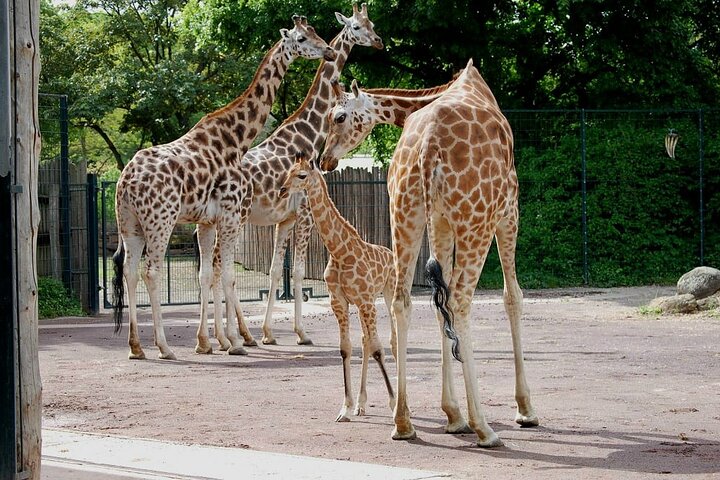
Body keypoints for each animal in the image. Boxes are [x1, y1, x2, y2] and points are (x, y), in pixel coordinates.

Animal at [111, 16, 335, 360]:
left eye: (314, 33)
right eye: (301, 38)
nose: (328, 51)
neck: (235, 139)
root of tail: (125, 181)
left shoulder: (207, 221)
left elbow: (209, 274)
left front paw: (212, 341)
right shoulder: (230, 216)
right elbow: (228, 275)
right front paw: (234, 343)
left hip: (129, 224)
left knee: (130, 271)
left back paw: (136, 347)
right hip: (161, 221)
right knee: (152, 272)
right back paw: (164, 347)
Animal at [201, 2, 383, 347]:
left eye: (372, 24)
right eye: (355, 26)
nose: (378, 41)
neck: (309, 133)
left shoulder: (284, 218)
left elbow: (275, 271)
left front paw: (270, 333)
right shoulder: (305, 212)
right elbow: (296, 272)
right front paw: (300, 333)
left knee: (211, 268)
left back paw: (220, 337)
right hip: (236, 218)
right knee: (219, 266)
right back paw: (231, 337)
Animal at [278, 152, 395, 422]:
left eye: (301, 175)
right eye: (288, 172)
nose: (282, 190)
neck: (339, 252)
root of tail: (390, 253)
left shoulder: (365, 300)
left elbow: (378, 350)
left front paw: (395, 403)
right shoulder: (340, 301)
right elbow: (346, 349)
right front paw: (346, 407)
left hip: (387, 293)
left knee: (393, 340)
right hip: (365, 305)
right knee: (365, 341)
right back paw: (362, 404)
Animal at [322, 60, 539, 447]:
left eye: (340, 116)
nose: (325, 159)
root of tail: (428, 146)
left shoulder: (439, 220)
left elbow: (440, 306)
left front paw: (452, 414)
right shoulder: (509, 211)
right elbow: (511, 296)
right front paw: (524, 409)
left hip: (404, 213)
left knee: (403, 302)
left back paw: (403, 422)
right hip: (476, 219)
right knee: (462, 301)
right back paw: (484, 428)